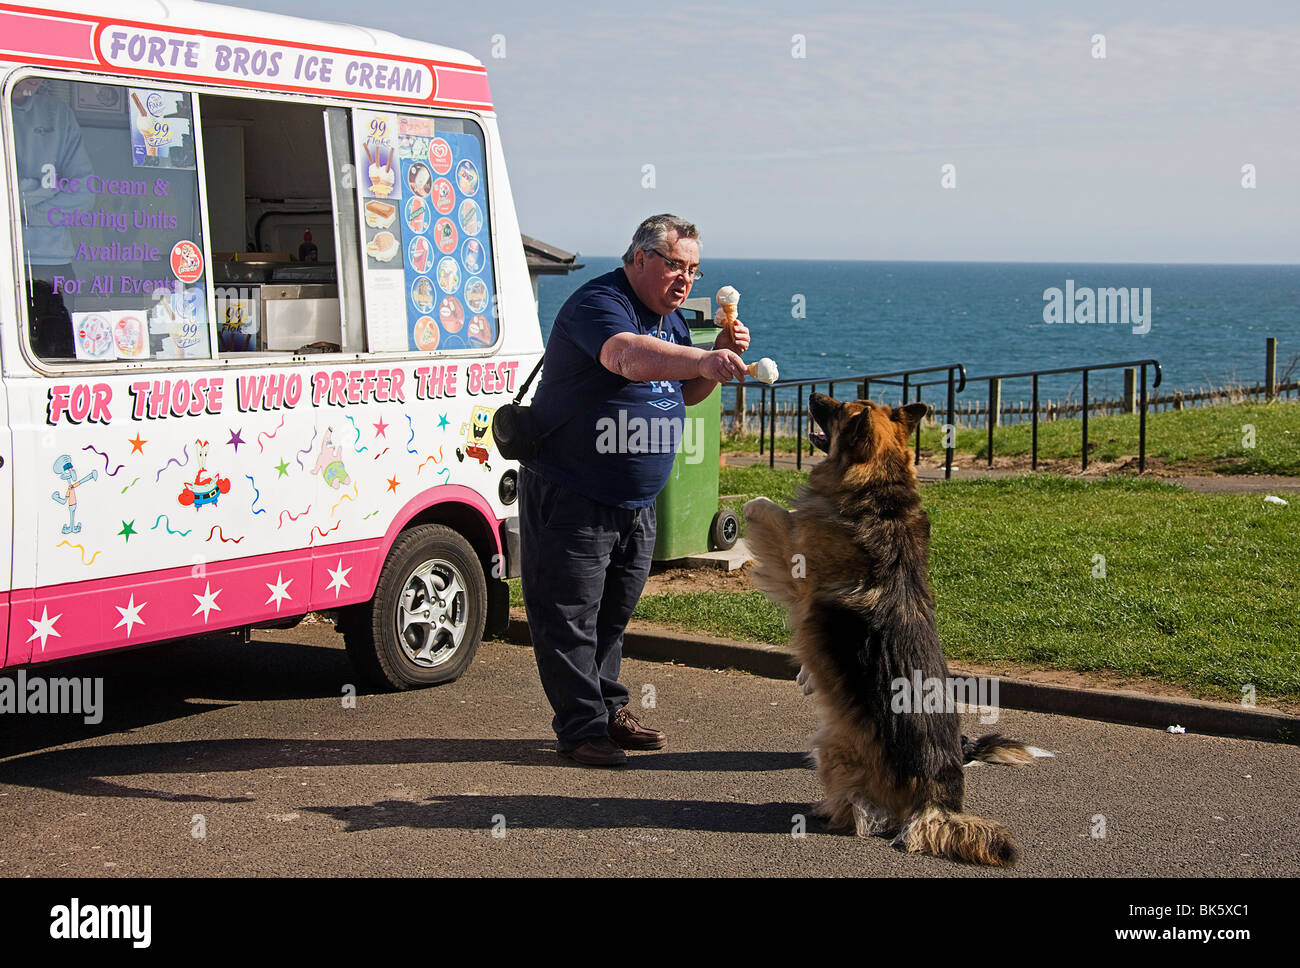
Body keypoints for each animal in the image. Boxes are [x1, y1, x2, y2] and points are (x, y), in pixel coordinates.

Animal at [748, 392, 1040, 867]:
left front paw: (747, 506)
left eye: (838, 409)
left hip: (833, 746)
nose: (813, 395)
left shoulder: (795, 563)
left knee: (865, 813)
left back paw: (830, 810)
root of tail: (939, 800)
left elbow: (766, 507)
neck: (880, 488)